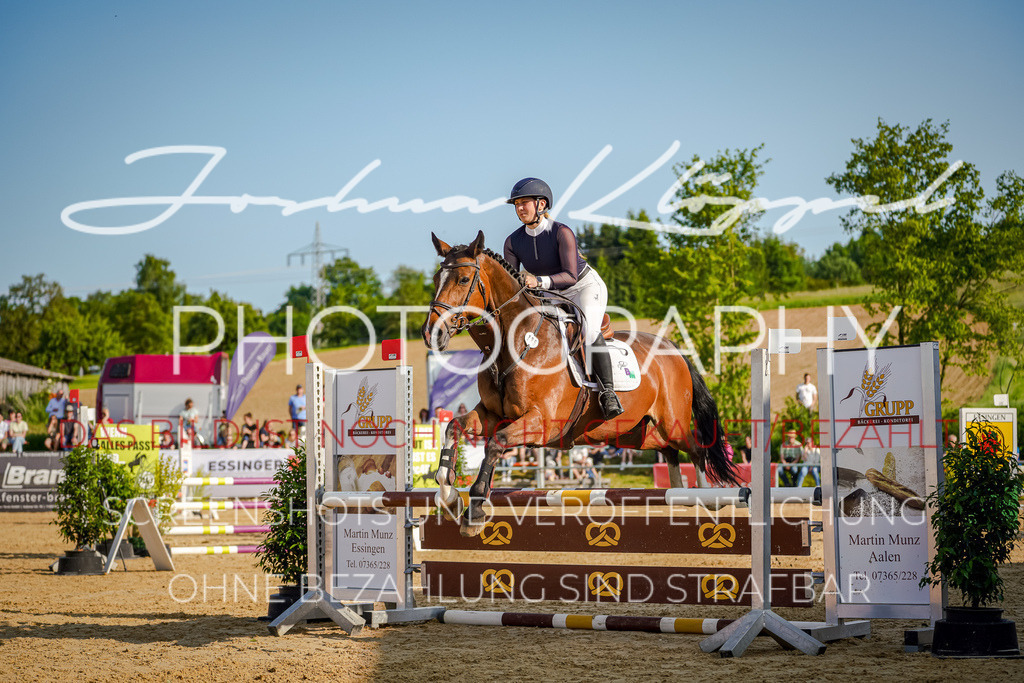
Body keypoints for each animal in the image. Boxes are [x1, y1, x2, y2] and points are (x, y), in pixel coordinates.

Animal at [419, 232, 741, 536]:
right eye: (435, 280)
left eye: (463, 279)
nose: (431, 333)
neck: (514, 342)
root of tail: (673, 349)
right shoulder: (493, 416)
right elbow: (453, 427)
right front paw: (449, 498)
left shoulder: (541, 421)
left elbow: (495, 444)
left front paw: (474, 511)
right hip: (635, 432)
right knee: (670, 452)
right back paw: (678, 497)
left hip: (671, 422)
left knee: (696, 449)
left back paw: (705, 500)